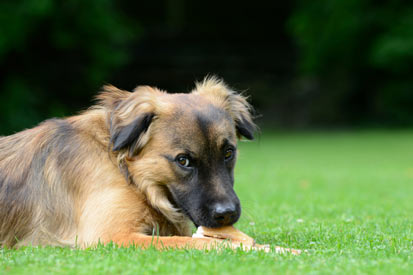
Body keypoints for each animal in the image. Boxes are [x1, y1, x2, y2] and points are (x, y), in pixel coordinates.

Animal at [0, 76, 256, 249]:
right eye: (183, 160)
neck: (126, 170)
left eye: (228, 153)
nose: (226, 213)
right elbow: (196, 243)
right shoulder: (111, 236)